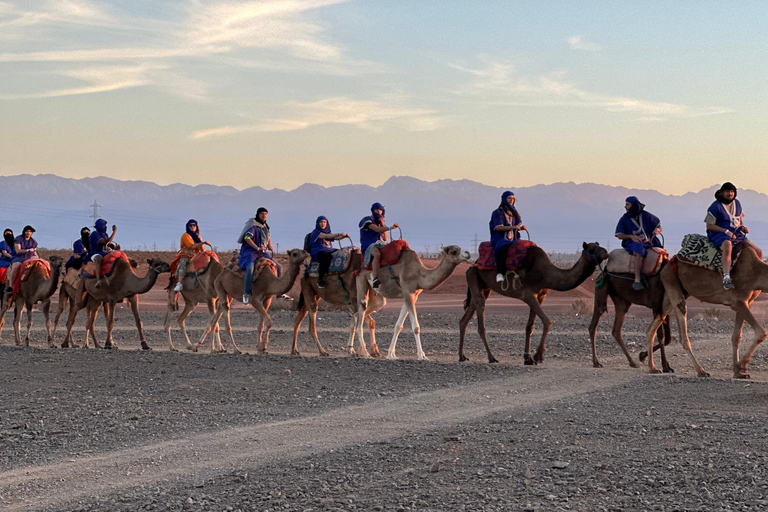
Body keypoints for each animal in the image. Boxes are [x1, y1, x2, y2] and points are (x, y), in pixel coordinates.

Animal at [460, 243, 608, 364]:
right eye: (592, 249)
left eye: (598, 245)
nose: (606, 252)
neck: (547, 274)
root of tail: (473, 264)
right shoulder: (528, 295)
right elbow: (547, 321)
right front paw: (538, 356)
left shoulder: (541, 295)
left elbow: (529, 326)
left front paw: (528, 358)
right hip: (474, 277)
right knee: (480, 315)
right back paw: (491, 357)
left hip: (483, 286)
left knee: (466, 317)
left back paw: (462, 356)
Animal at [644, 246, 764, 378]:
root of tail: (668, 263)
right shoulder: (739, 301)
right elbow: (761, 333)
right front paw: (740, 366)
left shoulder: (747, 302)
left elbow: (737, 336)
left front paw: (738, 372)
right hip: (671, 282)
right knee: (682, 330)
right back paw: (701, 370)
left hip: (673, 291)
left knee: (653, 326)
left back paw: (652, 368)